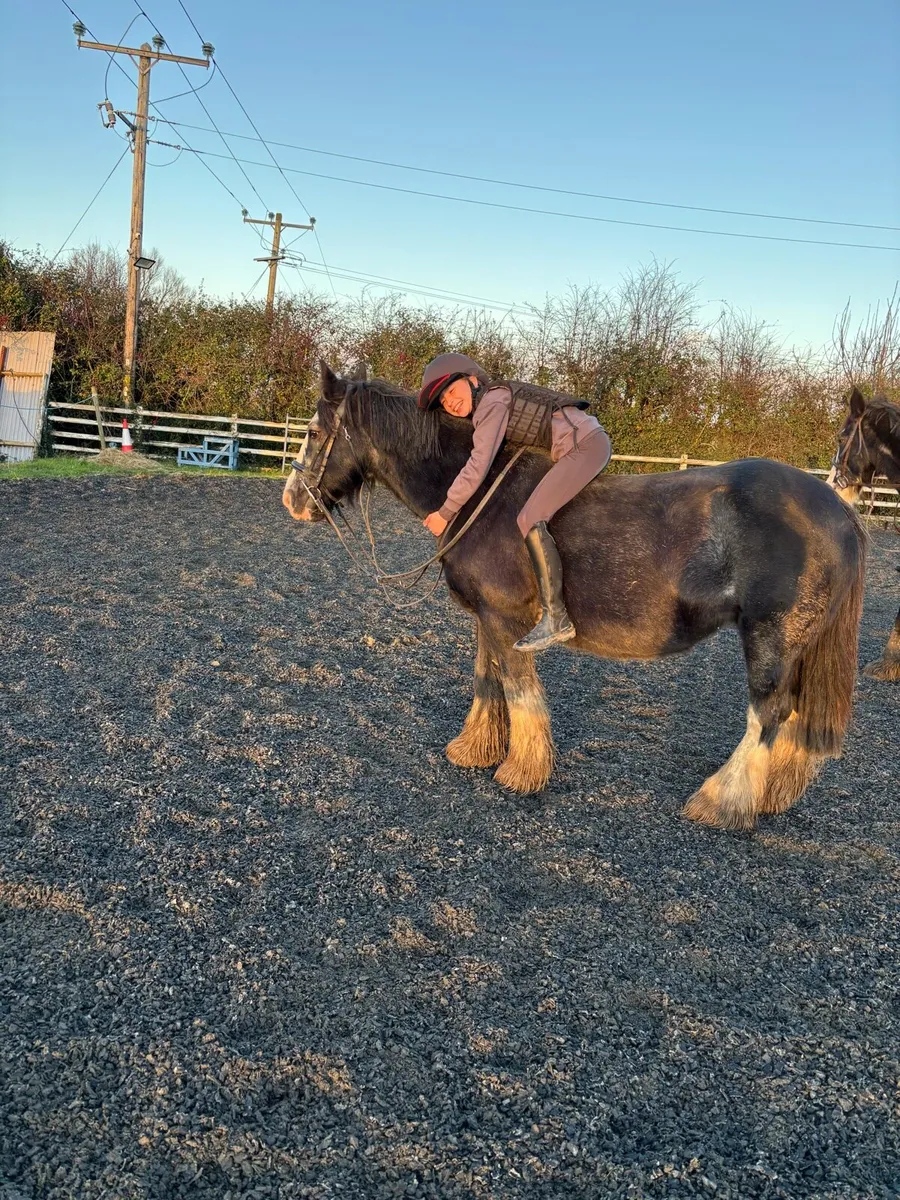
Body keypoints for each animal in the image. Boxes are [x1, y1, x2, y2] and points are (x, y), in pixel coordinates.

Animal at [283, 364, 867, 831]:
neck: (481, 494)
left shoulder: (504, 619)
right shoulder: (486, 618)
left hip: (772, 637)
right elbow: (487, 679)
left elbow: (519, 692)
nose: (292, 501)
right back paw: (772, 795)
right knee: (795, 718)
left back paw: (722, 802)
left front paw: (522, 771)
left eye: (311, 431)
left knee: (768, 714)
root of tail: (837, 509)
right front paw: (474, 749)